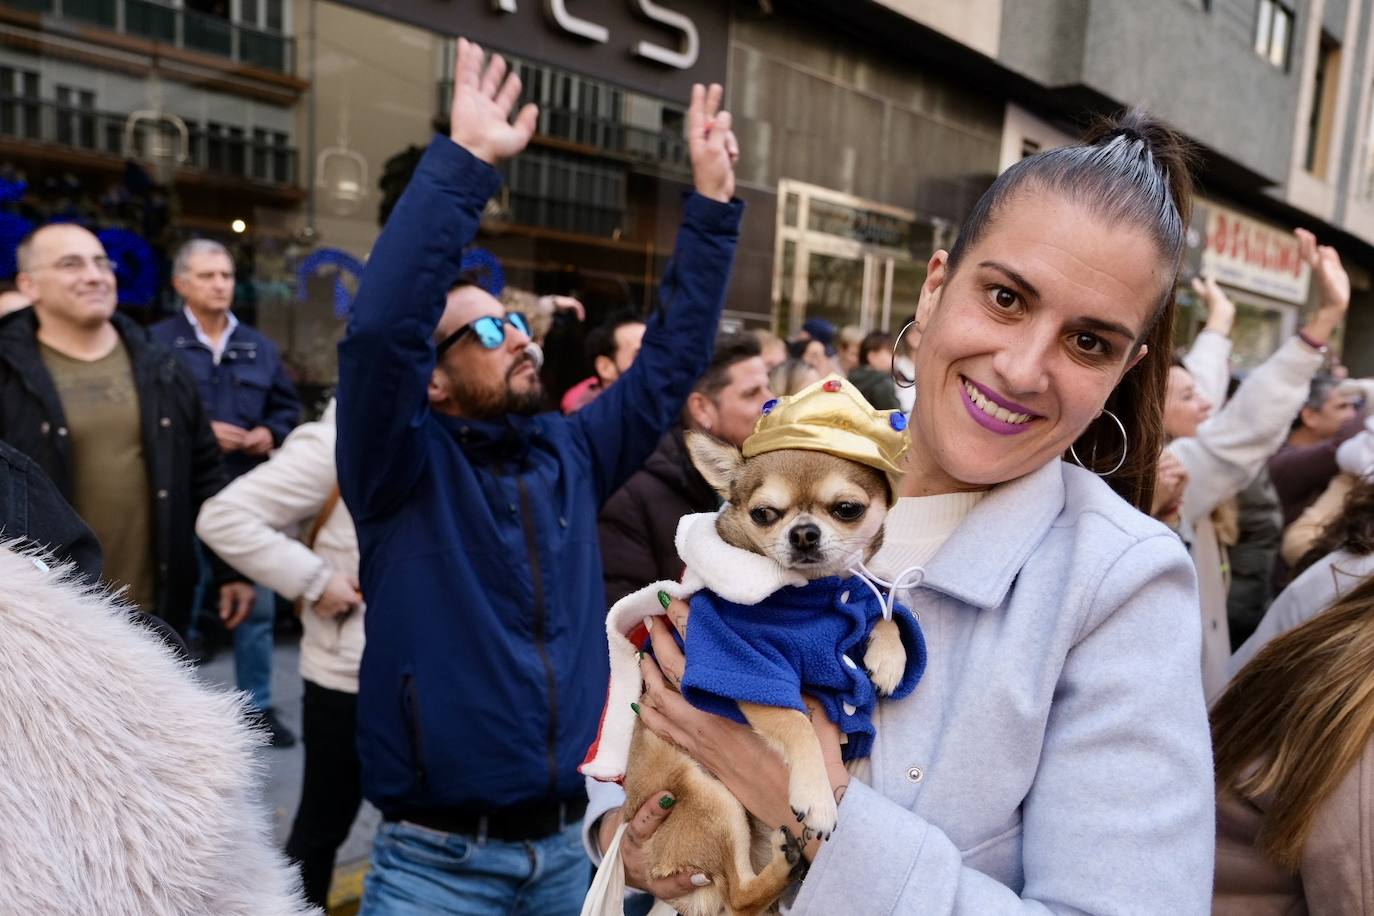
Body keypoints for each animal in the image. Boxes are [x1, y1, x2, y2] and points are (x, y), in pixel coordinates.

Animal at [623, 433, 912, 916]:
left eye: (847, 508)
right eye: (763, 514)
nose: (803, 532)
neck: (812, 595)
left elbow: (885, 609)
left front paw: (891, 657)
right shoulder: (745, 664)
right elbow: (797, 723)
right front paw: (818, 796)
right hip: (710, 799)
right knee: (739, 896)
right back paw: (784, 865)